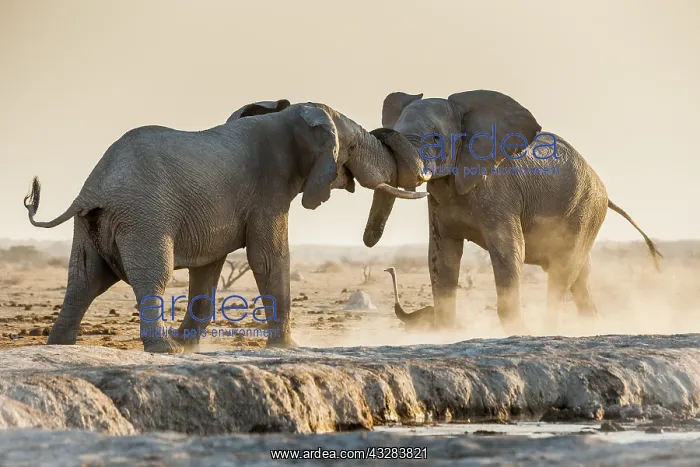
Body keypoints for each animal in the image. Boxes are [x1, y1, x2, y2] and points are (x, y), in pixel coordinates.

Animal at [23, 99, 428, 353]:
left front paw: (189, 345)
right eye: (354, 148)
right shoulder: (269, 190)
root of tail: (93, 188)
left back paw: (59, 345)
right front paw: (287, 347)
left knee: (84, 279)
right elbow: (268, 257)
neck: (288, 118)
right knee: (152, 274)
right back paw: (163, 350)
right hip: (142, 216)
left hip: (94, 223)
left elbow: (208, 268)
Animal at [362, 90, 663, 334]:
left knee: (563, 270)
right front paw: (445, 334)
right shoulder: (438, 201)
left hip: (586, 209)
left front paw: (518, 331)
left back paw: (547, 332)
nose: (369, 239)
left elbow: (508, 251)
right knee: (579, 277)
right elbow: (441, 256)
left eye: (435, 138)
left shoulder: (498, 191)